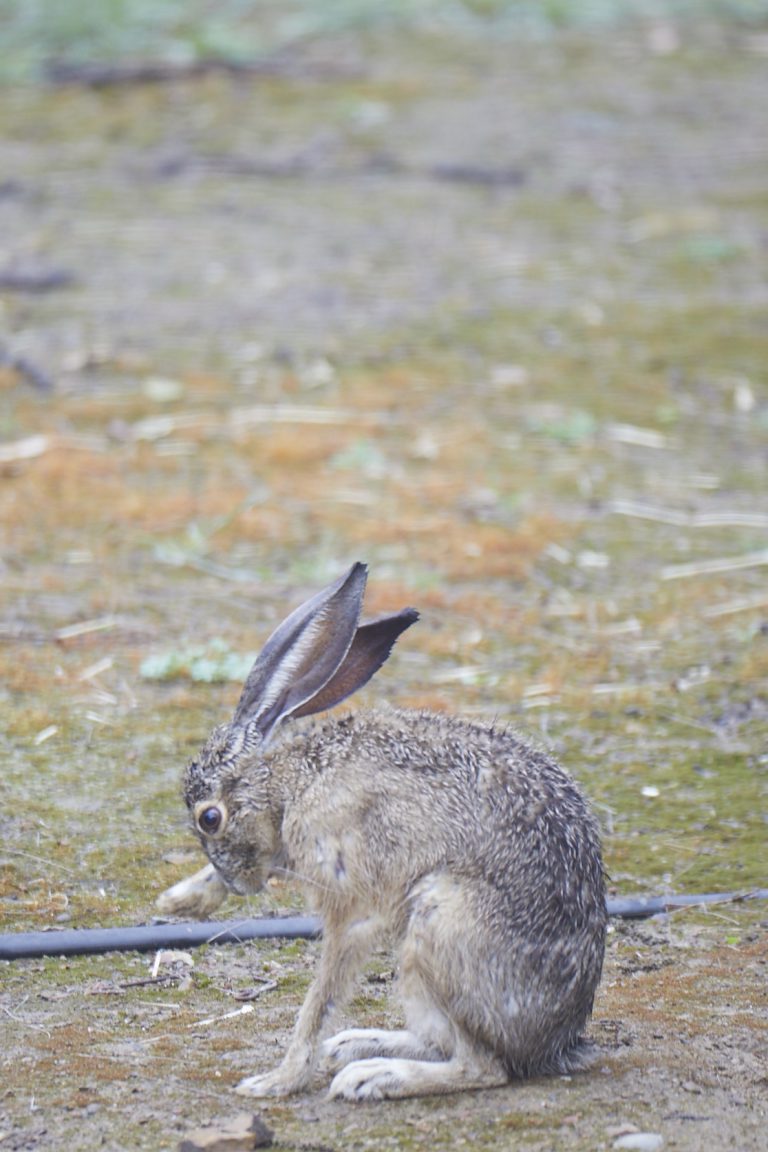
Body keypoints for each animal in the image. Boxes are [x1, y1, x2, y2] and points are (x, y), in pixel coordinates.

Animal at [158, 562, 607, 1101]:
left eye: (210, 818)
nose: (237, 884)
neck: (287, 786)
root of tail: (558, 1042)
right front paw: (181, 900)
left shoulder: (349, 901)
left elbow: (321, 999)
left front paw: (276, 1081)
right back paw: (357, 1045)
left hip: (440, 925)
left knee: (482, 1066)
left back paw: (374, 1076)